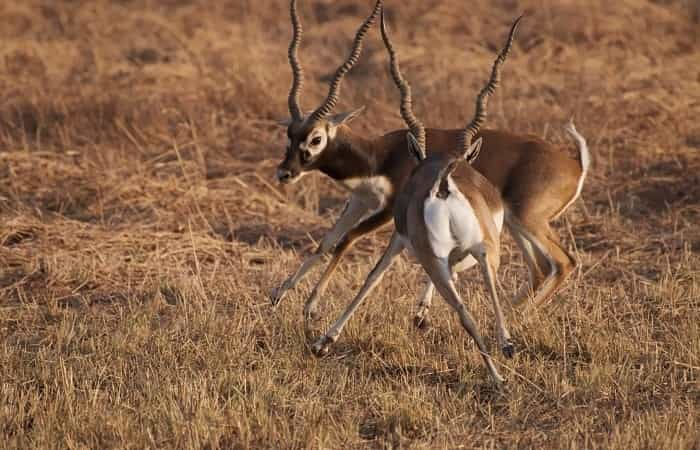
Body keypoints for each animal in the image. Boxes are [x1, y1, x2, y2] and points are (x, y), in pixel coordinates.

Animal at [270, 0, 588, 330]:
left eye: (316, 138)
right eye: (289, 134)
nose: (285, 172)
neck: (380, 156)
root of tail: (575, 165)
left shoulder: (388, 211)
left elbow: (347, 240)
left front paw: (311, 306)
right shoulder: (359, 201)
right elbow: (328, 240)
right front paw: (279, 294)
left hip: (527, 220)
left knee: (564, 262)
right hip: (514, 223)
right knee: (539, 268)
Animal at [312, 12, 520, 382]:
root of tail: (443, 181)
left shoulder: (399, 237)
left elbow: (373, 276)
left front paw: (325, 341)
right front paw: (420, 315)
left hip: (431, 256)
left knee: (464, 312)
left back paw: (496, 376)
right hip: (483, 248)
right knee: (488, 284)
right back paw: (506, 347)